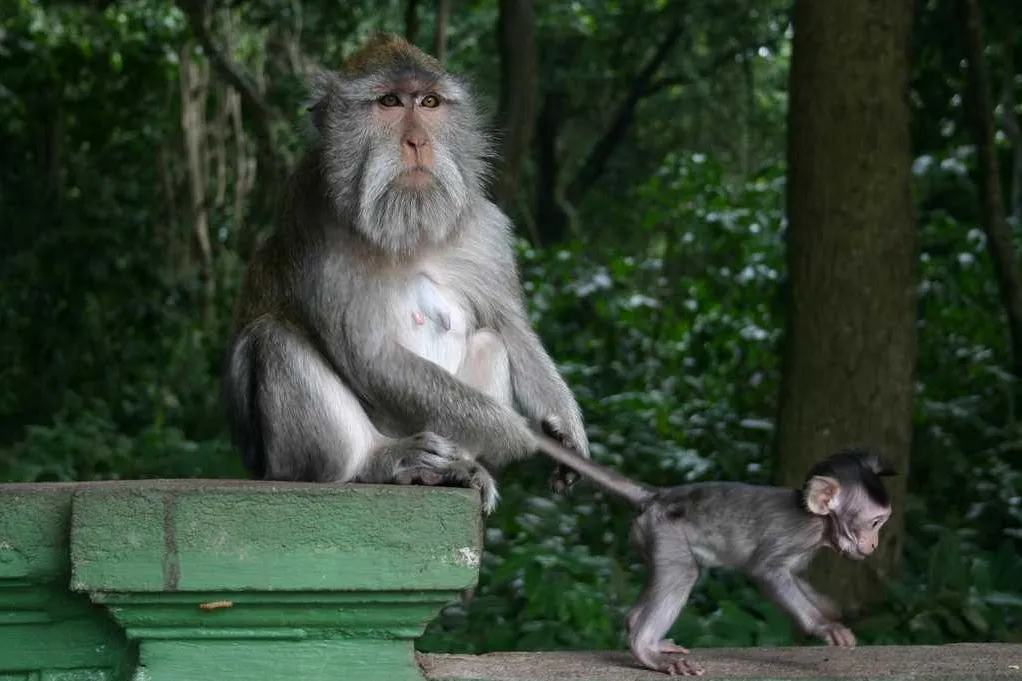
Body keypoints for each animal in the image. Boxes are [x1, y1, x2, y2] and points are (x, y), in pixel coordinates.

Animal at [220, 33, 589, 514]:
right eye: (390, 102)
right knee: (273, 338)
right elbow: (370, 355)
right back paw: (379, 463)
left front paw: (565, 428)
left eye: (429, 102)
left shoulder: (484, 228)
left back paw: (455, 468)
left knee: (491, 341)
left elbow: (511, 329)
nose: (417, 142)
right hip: (289, 460)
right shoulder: (316, 224)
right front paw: (517, 434)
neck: (409, 231)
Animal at [532, 432, 896, 676]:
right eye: (875, 522)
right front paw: (824, 626)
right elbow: (766, 570)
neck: (818, 522)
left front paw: (827, 606)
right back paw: (645, 648)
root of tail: (658, 496)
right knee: (683, 573)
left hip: (649, 535)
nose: (874, 544)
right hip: (666, 532)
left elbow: (794, 577)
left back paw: (643, 633)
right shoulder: (796, 536)